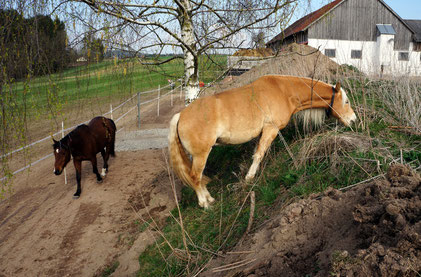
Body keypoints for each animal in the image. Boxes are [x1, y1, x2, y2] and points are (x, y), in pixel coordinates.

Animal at [167, 74, 354, 208]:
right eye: (346, 101)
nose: (353, 120)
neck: (283, 91)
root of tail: (181, 115)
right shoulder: (271, 129)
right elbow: (259, 155)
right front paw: (249, 178)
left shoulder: (262, 132)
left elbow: (256, 152)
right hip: (201, 154)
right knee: (195, 176)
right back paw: (205, 203)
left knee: (197, 177)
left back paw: (208, 198)